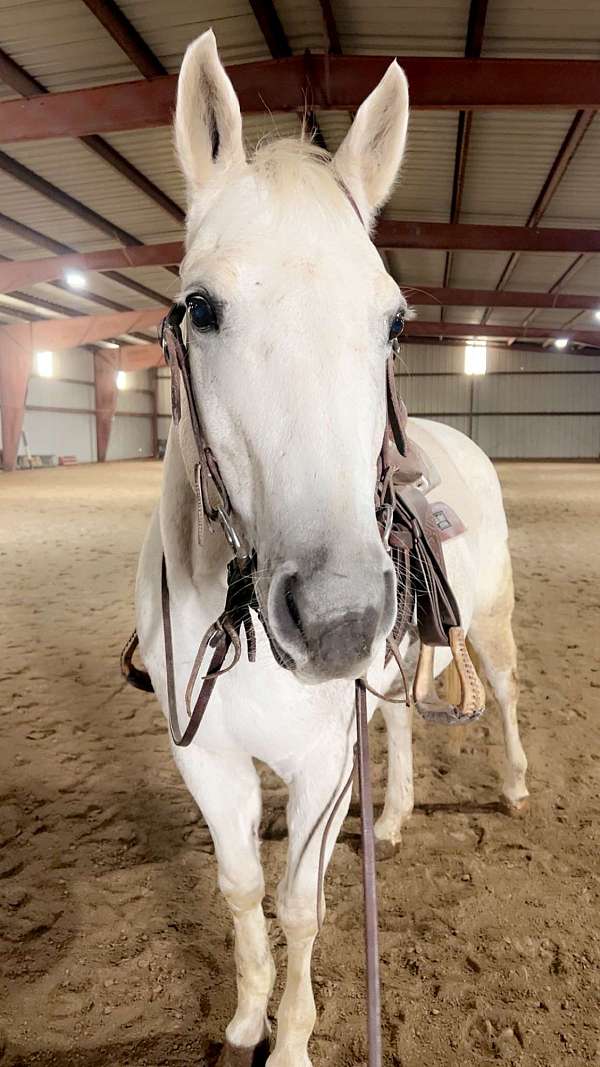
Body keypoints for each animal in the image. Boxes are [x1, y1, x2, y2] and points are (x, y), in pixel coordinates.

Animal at [135, 30, 528, 1067]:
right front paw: (244, 1018)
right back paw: (390, 820)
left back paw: (515, 787)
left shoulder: (321, 768)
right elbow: (241, 889)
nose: (340, 618)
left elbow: (301, 906)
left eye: (393, 320)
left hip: (488, 628)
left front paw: (293, 1039)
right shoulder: (207, 760)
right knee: (398, 726)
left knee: (504, 695)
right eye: (201, 307)